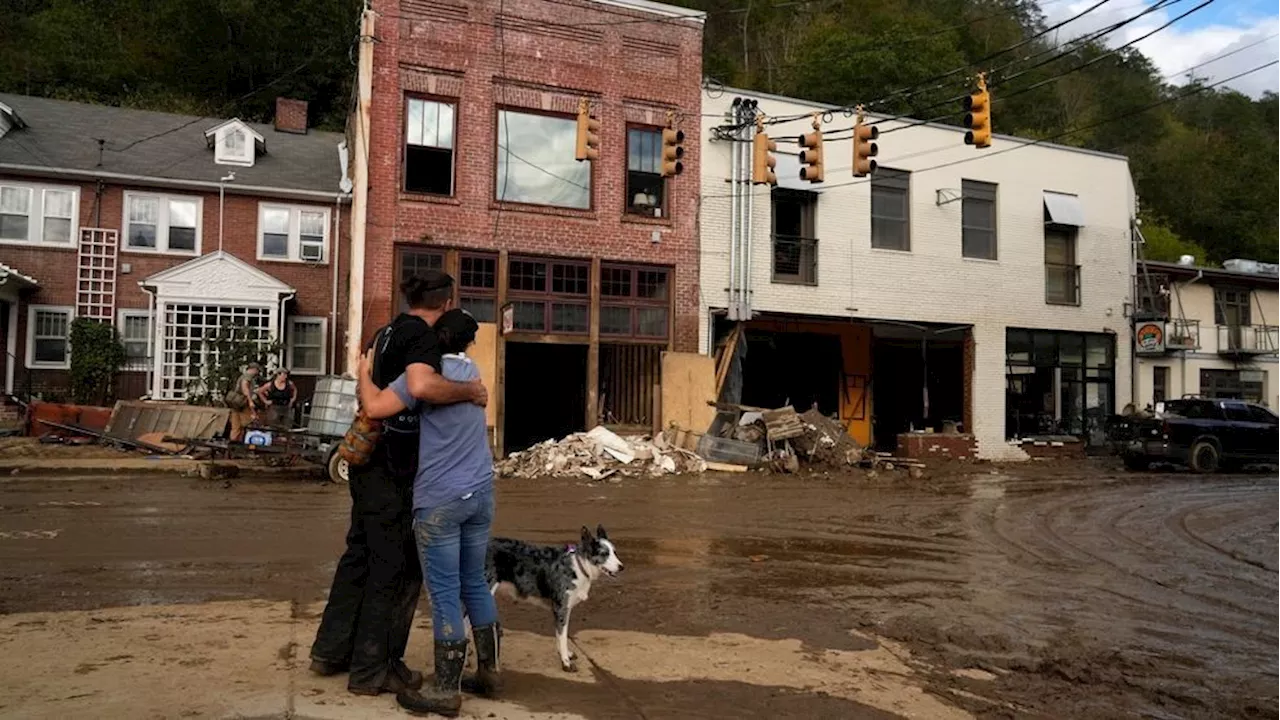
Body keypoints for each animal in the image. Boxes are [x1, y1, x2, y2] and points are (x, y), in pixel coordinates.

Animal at [483, 520, 624, 666]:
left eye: (614, 552)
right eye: (604, 554)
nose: (621, 567)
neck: (578, 566)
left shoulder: (564, 609)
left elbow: (560, 634)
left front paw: (564, 654)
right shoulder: (561, 608)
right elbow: (563, 635)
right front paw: (565, 661)